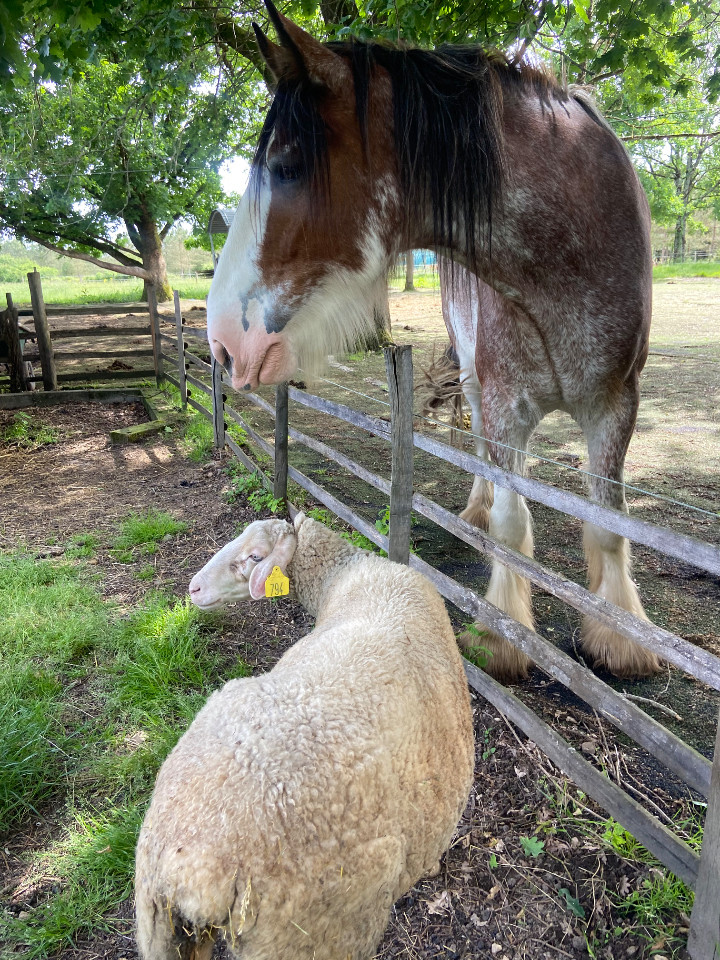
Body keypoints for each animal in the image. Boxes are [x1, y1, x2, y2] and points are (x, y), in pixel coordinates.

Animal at [207, 0, 659, 682]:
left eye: (286, 167)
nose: (223, 341)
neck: (571, 253)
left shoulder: (616, 404)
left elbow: (608, 524)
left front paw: (620, 636)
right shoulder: (504, 405)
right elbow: (511, 522)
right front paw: (502, 636)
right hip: (474, 379)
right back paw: (474, 508)